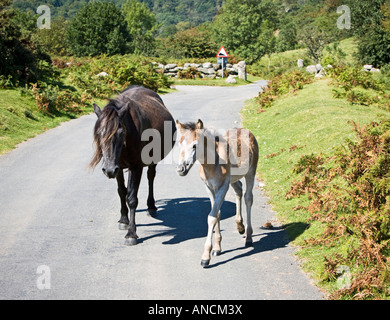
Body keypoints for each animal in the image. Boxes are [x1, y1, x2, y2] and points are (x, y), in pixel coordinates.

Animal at [90, 85, 175, 245]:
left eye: (121, 132)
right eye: (99, 133)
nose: (108, 169)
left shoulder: (135, 167)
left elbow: (132, 198)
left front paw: (131, 233)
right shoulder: (118, 168)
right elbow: (122, 192)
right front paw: (124, 220)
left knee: (151, 177)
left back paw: (151, 206)